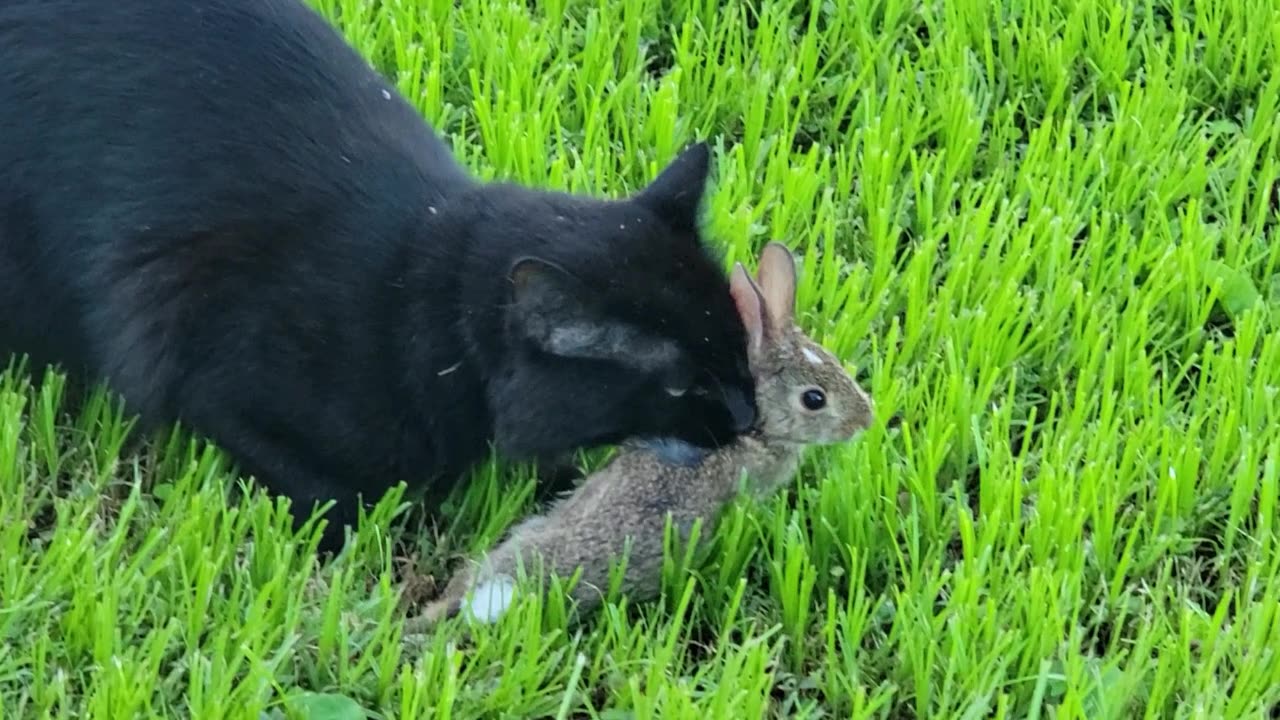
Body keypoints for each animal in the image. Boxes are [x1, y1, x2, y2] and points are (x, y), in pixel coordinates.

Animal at [0, 0, 752, 545]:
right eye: (683, 386)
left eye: (740, 346)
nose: (748, 417)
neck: (420, 297)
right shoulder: (213, 383)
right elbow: (340, 499)